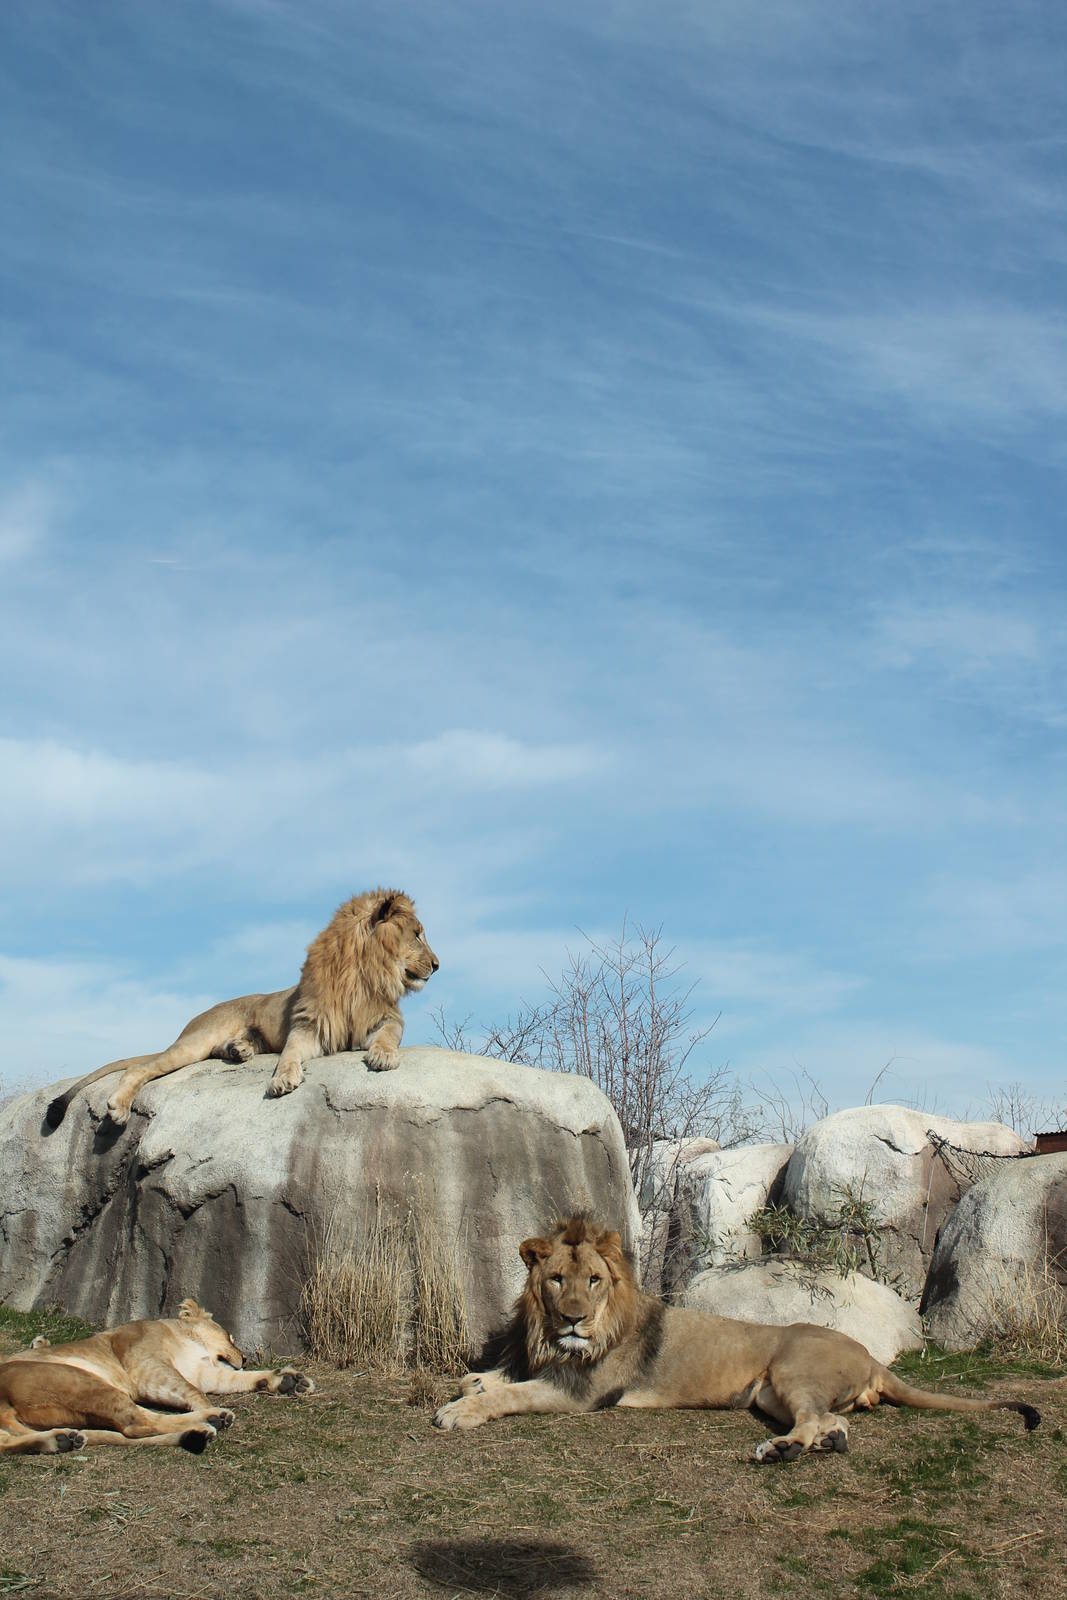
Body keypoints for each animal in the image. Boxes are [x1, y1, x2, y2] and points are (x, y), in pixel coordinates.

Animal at [0, 1298, 313, 1455]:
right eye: (230, 1336)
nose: (246, 1358)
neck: (188, 1340)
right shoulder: (145, 1365)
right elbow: (193, 1391)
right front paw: (207, 1407)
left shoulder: (200, 1371)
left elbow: (232, 1380)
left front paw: (287, 1381)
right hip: (78, 1381)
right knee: (138, 1423)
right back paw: (212, 1419)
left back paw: (61, 1440)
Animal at [46, 888, 438, 1129]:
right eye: (417, 934)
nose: (437, 965)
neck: (364, 973)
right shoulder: (308, 1027)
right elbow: (290, 1052)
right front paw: (281, 1079)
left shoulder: (384, 1018)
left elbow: (390, 1034)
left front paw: (383, 1056)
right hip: (193, 1043)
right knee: (139, 1069)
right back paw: (119, 1106)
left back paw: (240, 1049)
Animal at [434, 1216, 1040, 1460]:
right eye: (557, 1279)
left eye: (594, 1281)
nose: (573, 1320)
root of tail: (871, 1356)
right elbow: (489, 1379)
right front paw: (471, 1387)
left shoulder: (581, 1394)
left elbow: (512, 1395)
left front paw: (458, 1413)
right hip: (770, 1396)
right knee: (835, 1422)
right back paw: (819, 1443)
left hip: (792, 1372)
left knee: (817, 1418)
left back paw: (782, 1451)